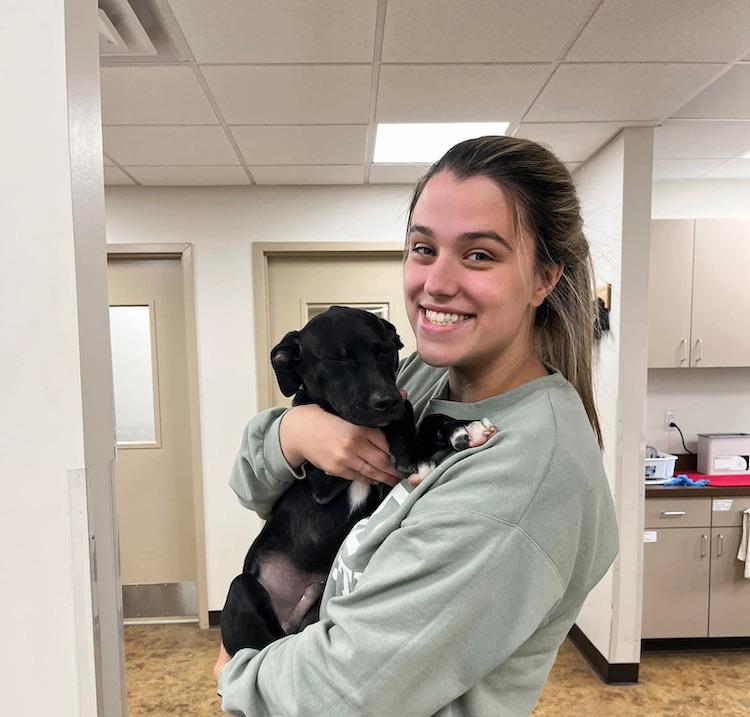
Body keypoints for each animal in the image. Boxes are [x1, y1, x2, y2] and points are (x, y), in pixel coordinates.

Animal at [220, 304, 496, 652]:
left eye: (386, 351)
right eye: (336, 359)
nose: (386, 400)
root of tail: (292, 621)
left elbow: (425, 419)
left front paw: (461, 427)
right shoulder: (323, 476)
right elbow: (399, 413)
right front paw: (411, 446)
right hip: (244, 589)